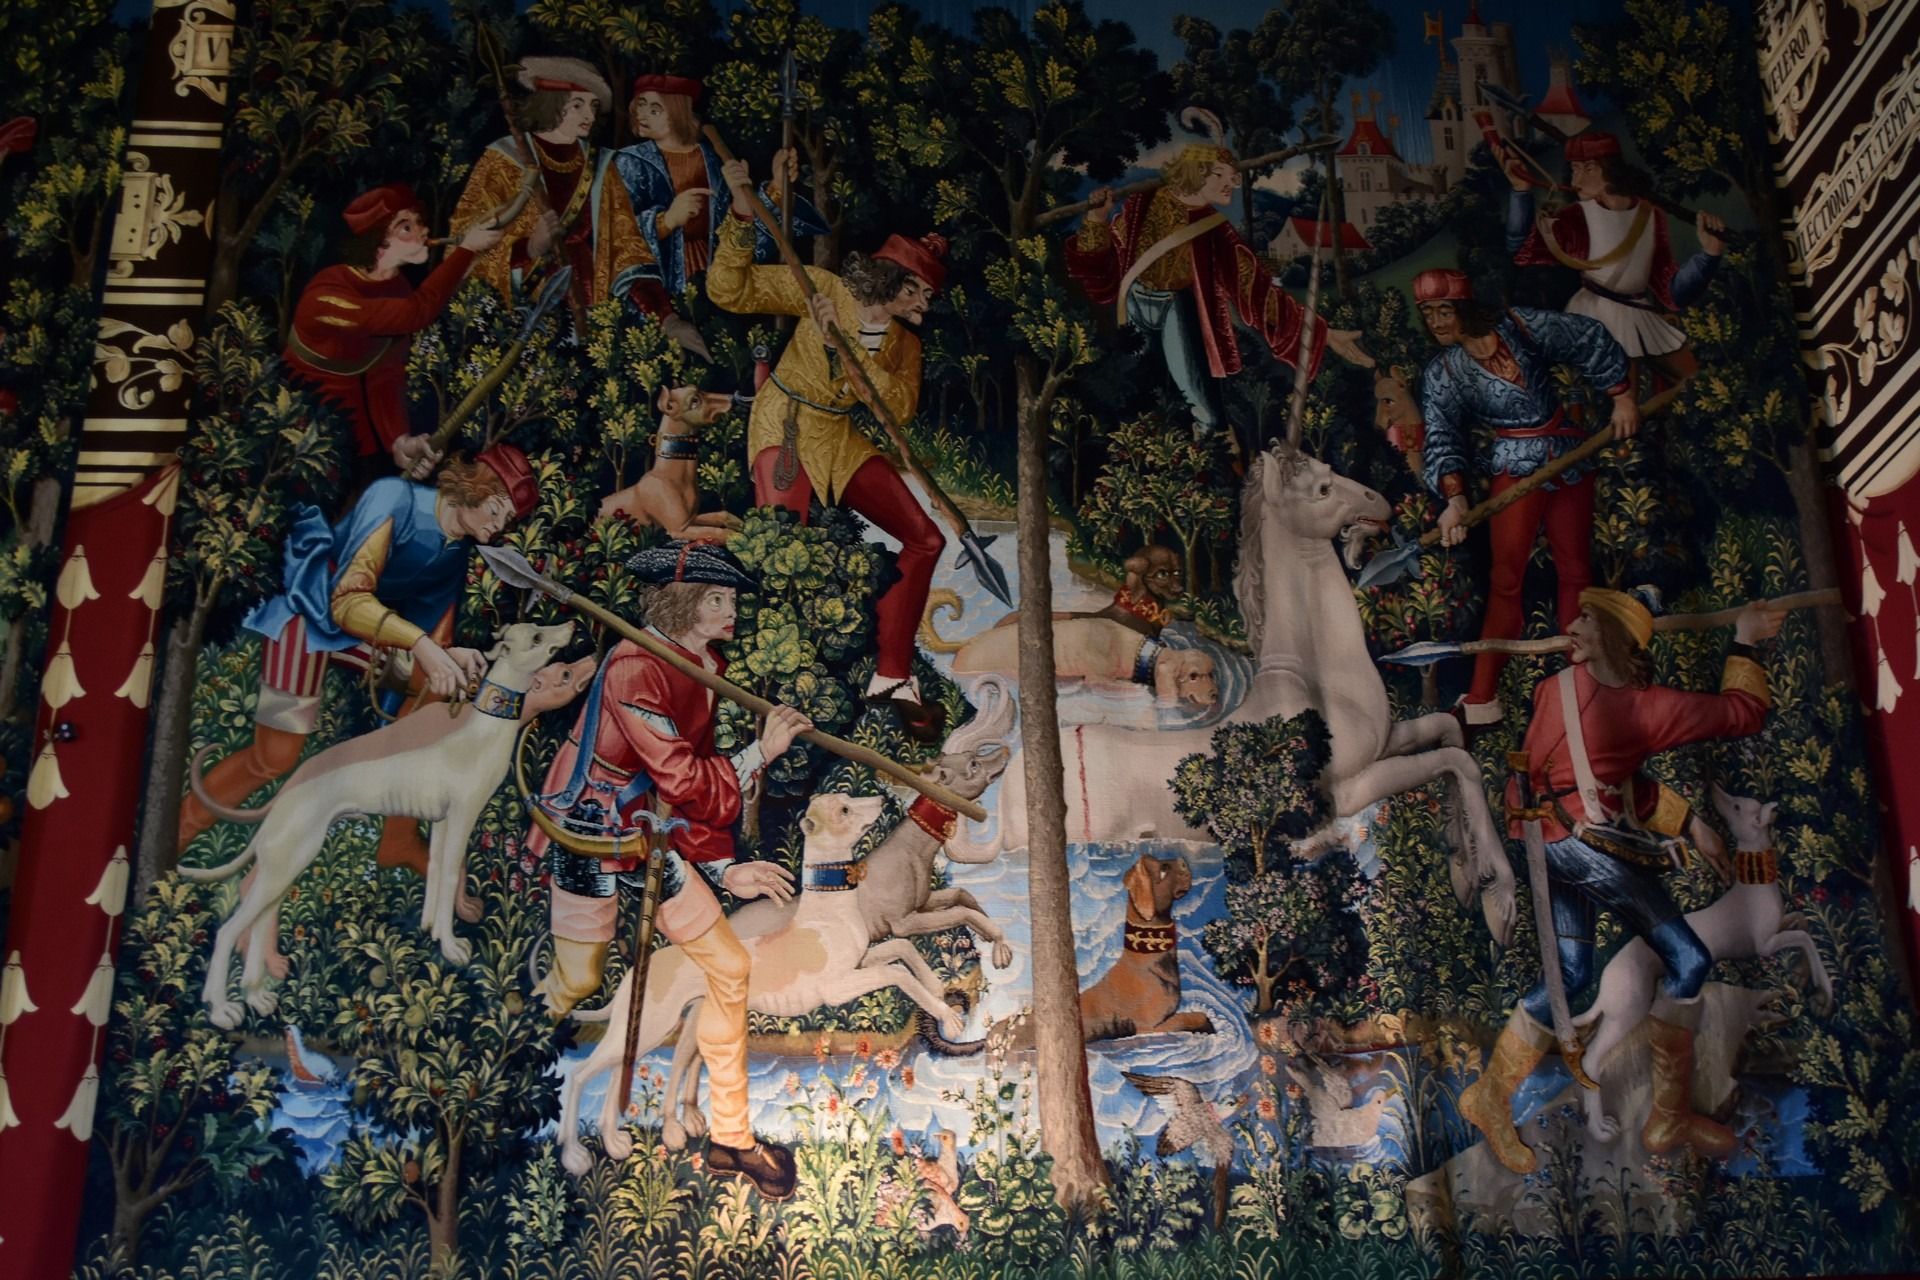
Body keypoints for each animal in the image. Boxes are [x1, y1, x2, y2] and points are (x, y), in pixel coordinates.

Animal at [184, 622, 593, 1030]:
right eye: (537, 638)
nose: (573, 628)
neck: (484, 726)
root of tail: (285, 792)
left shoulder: (442, 823)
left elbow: (436, 872)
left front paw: (432, 933)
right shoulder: (463, 815)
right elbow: (449, 875)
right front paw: (452, 947)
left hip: (286, 866)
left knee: (259, 920)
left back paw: (257, 996)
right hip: (285, 864)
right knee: (229, 929)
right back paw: (221, 1009)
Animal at [556, 792, 971, 1176]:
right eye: (844, 810)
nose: (882, 800)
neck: (827, 912)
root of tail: (638, 969)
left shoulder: (862, 960)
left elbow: (902, 949)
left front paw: (937, 987)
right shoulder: (839, 987)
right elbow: (899, 973)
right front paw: (949, 1018)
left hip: (649, 1030)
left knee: (615, 1075)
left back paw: (615, 1142)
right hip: (654, 1026)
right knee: (579, 1075)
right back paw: (575, 1156)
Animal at [596, 384, 744, 540]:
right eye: (695, 400)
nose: (732, 398)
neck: (673, 476)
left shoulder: (691, 518)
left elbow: (722, 515)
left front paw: (742, 524)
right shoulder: (679, 529)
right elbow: (721, 532)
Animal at [924, 853, 1216, 1055]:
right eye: (1164, 869)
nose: (1185, 862)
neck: (1146, 960)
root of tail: (990, 1035)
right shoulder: (1150, 1027)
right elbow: (1196, 1017)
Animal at [1573, 784, 1836, 1139]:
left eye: (1737, 806)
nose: (1713, 789)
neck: (1754, 885)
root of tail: (1606, 979)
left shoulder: (1778, 928)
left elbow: (1803, 923)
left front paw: (1803, 979)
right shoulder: (1764, 944)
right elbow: (1804, 937)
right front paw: (1825, 988)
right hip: (1628, 1009)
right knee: (1591, 1061)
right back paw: (1600, 1128)